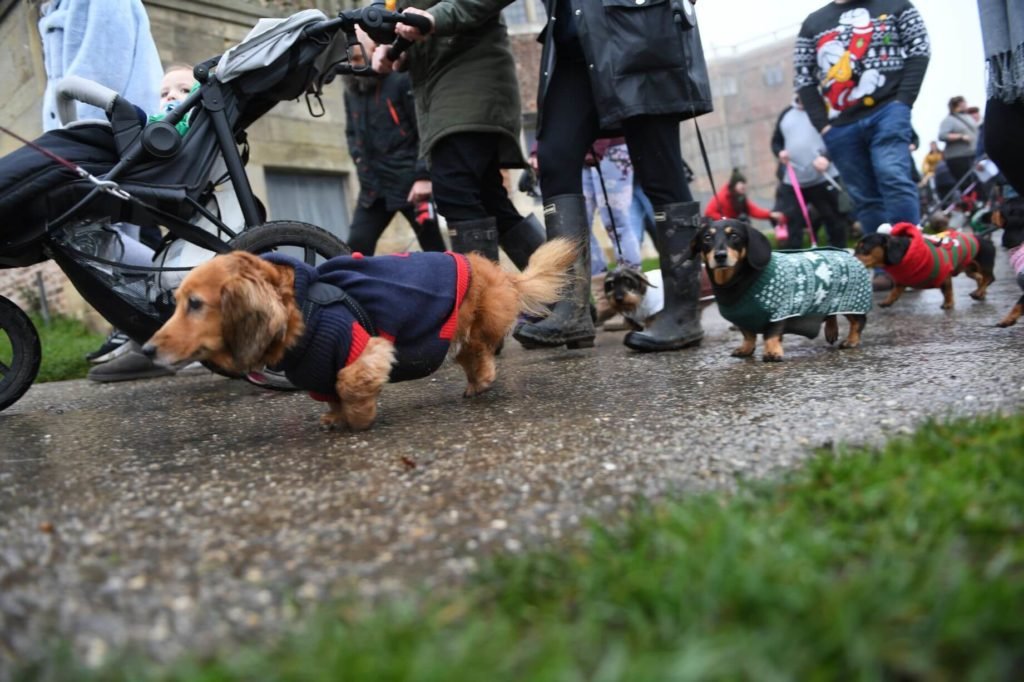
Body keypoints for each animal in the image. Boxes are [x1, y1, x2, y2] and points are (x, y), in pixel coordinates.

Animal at [851, 222, 995, 309]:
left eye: (864, 248)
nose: (851, 259)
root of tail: (984, 238)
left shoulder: (945, 275)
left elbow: (947, 291)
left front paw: (948, 304)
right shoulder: (902, 281)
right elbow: (894, 292)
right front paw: (887, 301)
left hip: (984, 265)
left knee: (989, 278)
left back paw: (978, 293)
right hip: (970, 269)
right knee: (980, 278)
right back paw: (980, 293)